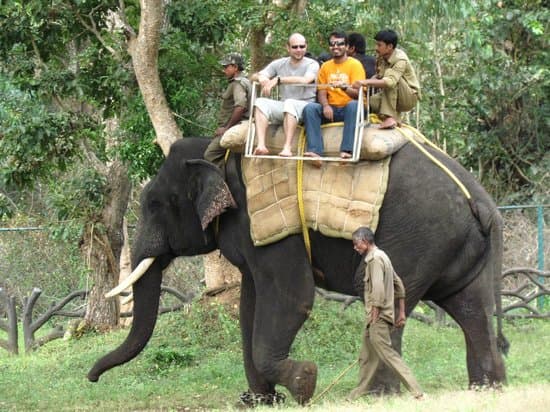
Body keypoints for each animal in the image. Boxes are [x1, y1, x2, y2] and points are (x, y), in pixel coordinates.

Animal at [89, 138, 508, 406]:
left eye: (154, 204)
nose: (91, 379)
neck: (214, 151)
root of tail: (482, 203)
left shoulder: (267, 223)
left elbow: (292, 296)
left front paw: (304, 383)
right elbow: (251, 303)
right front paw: (256, 400)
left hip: (415, 240)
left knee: (391, 308)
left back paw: (374, 396)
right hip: (457, 248)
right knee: (472, 308)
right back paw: (486, 388)